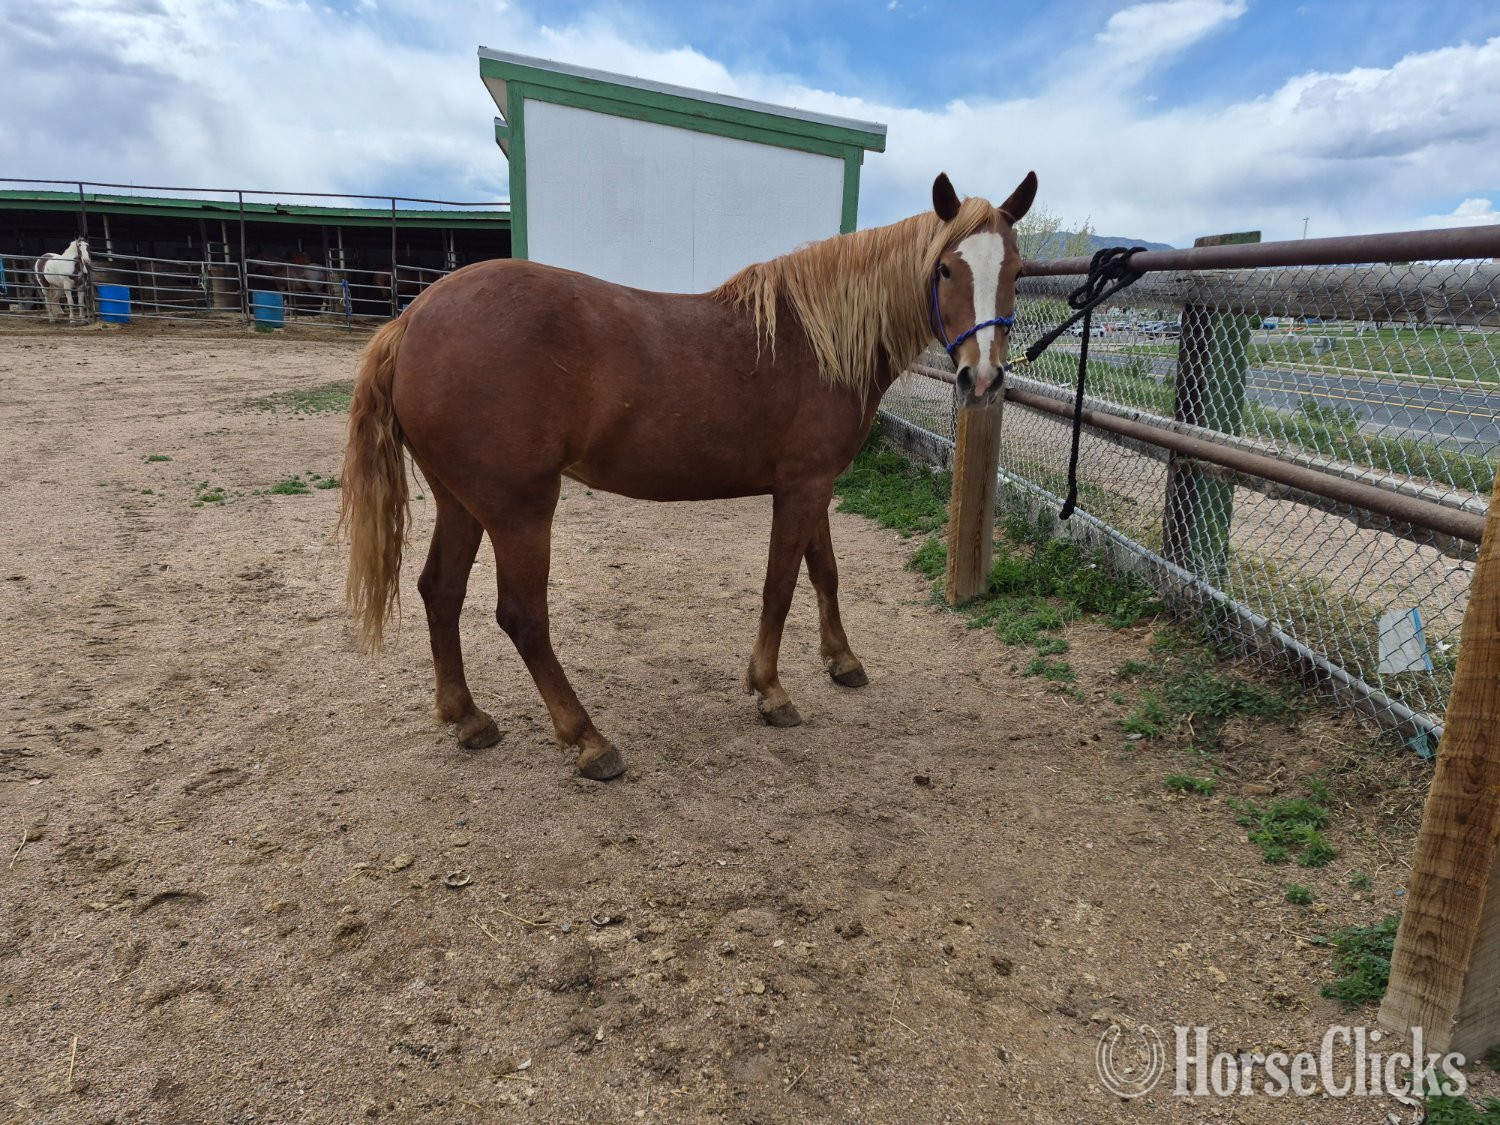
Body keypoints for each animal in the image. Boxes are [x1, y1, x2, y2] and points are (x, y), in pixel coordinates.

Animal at [339, 171, 1037, 780]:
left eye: (1016, 271)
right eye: (945, 268)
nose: (982, 380)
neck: (817, 341)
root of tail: (413, 318)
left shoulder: (813, 486)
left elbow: (824, 574)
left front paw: (842, 660)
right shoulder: (803, 487)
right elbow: (781, 586)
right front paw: (771, 690)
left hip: (463, 502)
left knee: (440, 592)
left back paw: (468, 718)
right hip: (520, 509)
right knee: (522, 616)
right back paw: (589, 740)